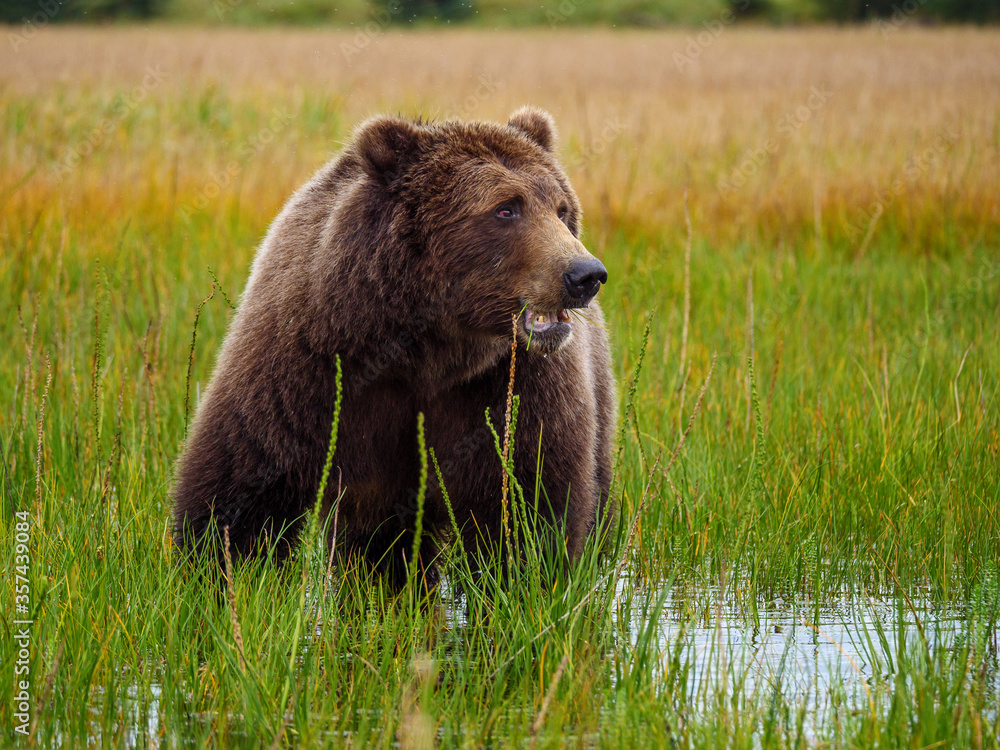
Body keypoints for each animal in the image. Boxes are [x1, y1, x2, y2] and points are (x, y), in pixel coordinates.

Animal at [174, 107, 616, 588]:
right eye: (506, 208)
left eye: (561, 208)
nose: (585, 274)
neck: (424, 349)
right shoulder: (308, 360)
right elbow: (244, 480)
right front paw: (215, 573)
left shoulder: (513, 384)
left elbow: (527, 499)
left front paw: (522, 583)